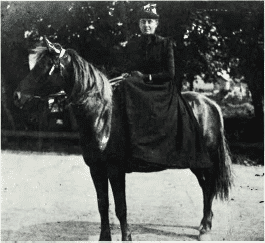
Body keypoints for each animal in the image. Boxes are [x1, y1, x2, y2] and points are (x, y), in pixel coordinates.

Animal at [13, 38, 231, 241]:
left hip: (207, 162)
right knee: (205, 188)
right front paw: (104, 237)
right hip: (197, 163)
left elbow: (121, 207)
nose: (17, 95)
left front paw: (126, 237)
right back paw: (204, 223)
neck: (103, 116)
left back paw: (205, 228)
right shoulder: (96, 169)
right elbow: (103, 205)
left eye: (43, 66)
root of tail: (210, 103)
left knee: (209, 187)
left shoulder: (115, 170)